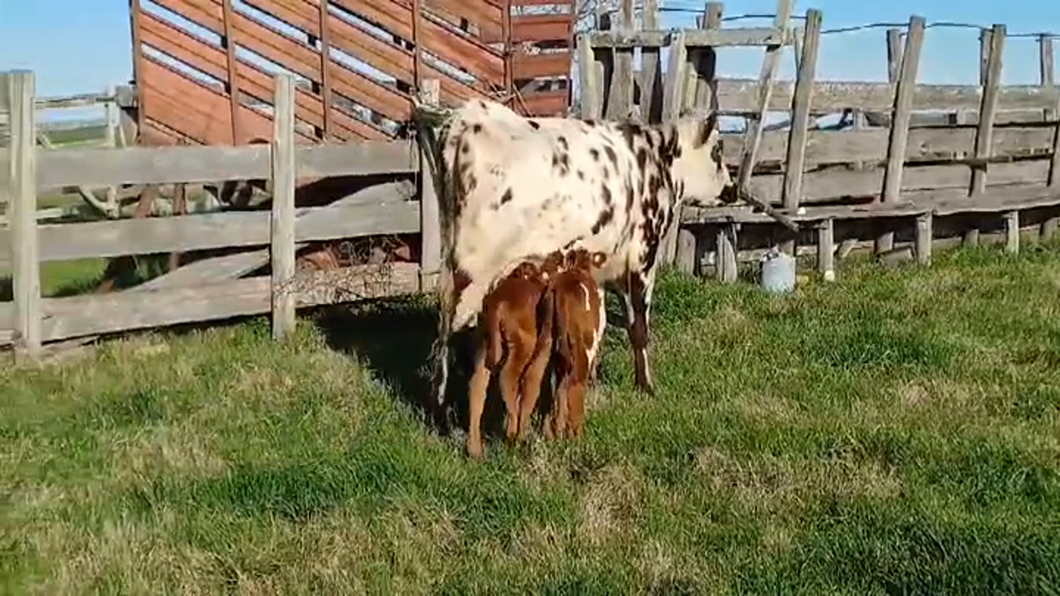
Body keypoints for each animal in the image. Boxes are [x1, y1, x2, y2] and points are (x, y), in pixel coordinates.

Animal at [464, 250, 563, 453]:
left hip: (486, 346)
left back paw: (475, 449)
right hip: (522, 346)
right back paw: (513, 432)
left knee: (477, 386)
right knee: (508, 377)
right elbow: (534, 393)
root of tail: (498, 302)